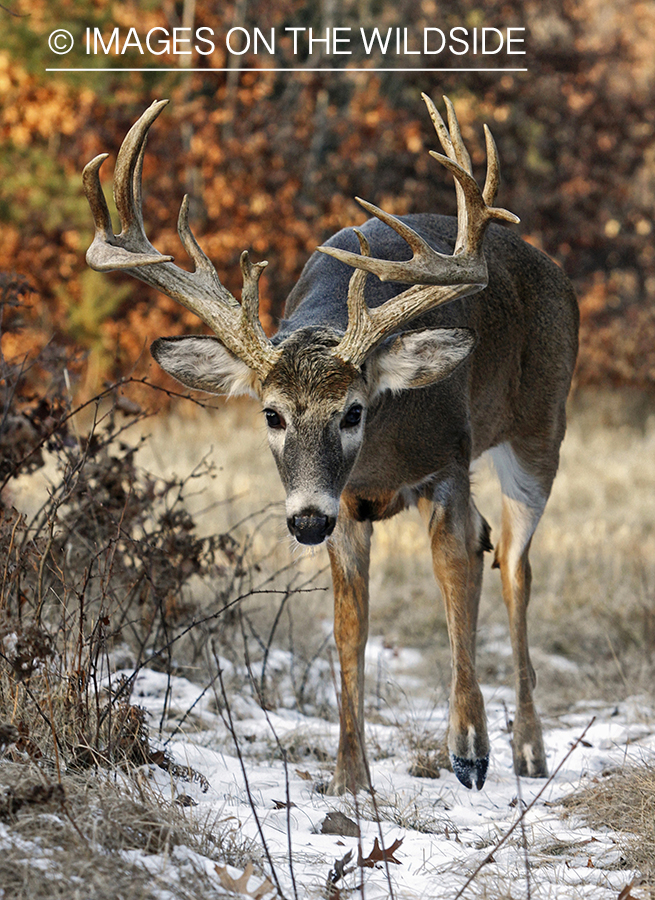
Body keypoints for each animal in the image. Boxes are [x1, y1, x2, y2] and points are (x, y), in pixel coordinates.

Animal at [83, 93, 580, 796]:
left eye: (353, 411)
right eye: (271, 414)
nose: (306, 520)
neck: (378, 460)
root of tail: (554, 271)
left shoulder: (449, 462)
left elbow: (455, 578)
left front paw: (469, 749)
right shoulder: (343, 507)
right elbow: (350, 626)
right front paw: (349, 777)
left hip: (540, 427)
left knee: (513, 564)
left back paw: (529, 749)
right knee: (495, 548)